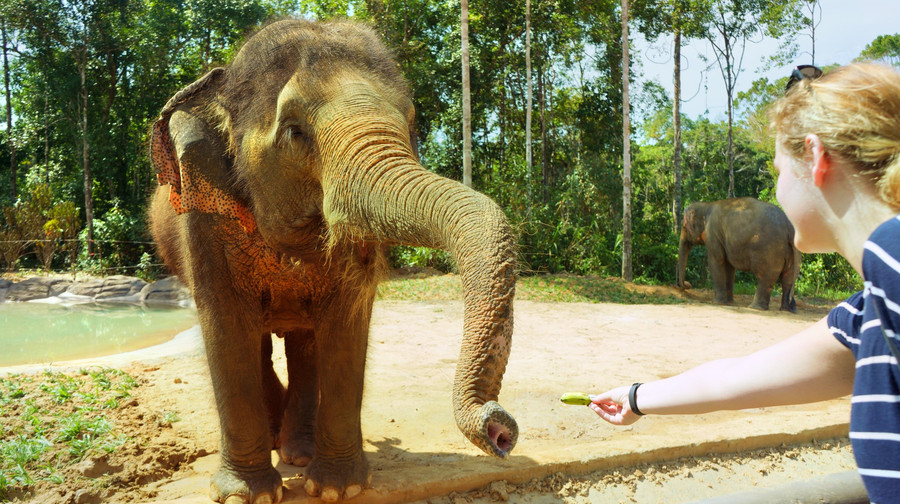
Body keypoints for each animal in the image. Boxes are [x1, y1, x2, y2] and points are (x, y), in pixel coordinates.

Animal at [146, 19, 512, 504]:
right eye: (295, 131)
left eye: (410, 121)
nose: (500, 430)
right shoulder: (203, 222)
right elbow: (226, 324)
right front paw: (247, 495)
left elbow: (346, 319)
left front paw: (339, 488)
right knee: (262, 342)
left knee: (304, 343)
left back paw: (297, 452)